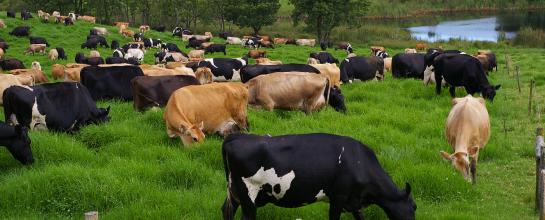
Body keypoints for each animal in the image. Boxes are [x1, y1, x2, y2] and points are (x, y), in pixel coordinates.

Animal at [221, 132, 416, 220]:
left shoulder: (353, 201)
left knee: (226, 210)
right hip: (248, 194)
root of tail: (239, 136)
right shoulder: (339, 196)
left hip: (235, 192)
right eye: (414, 208)